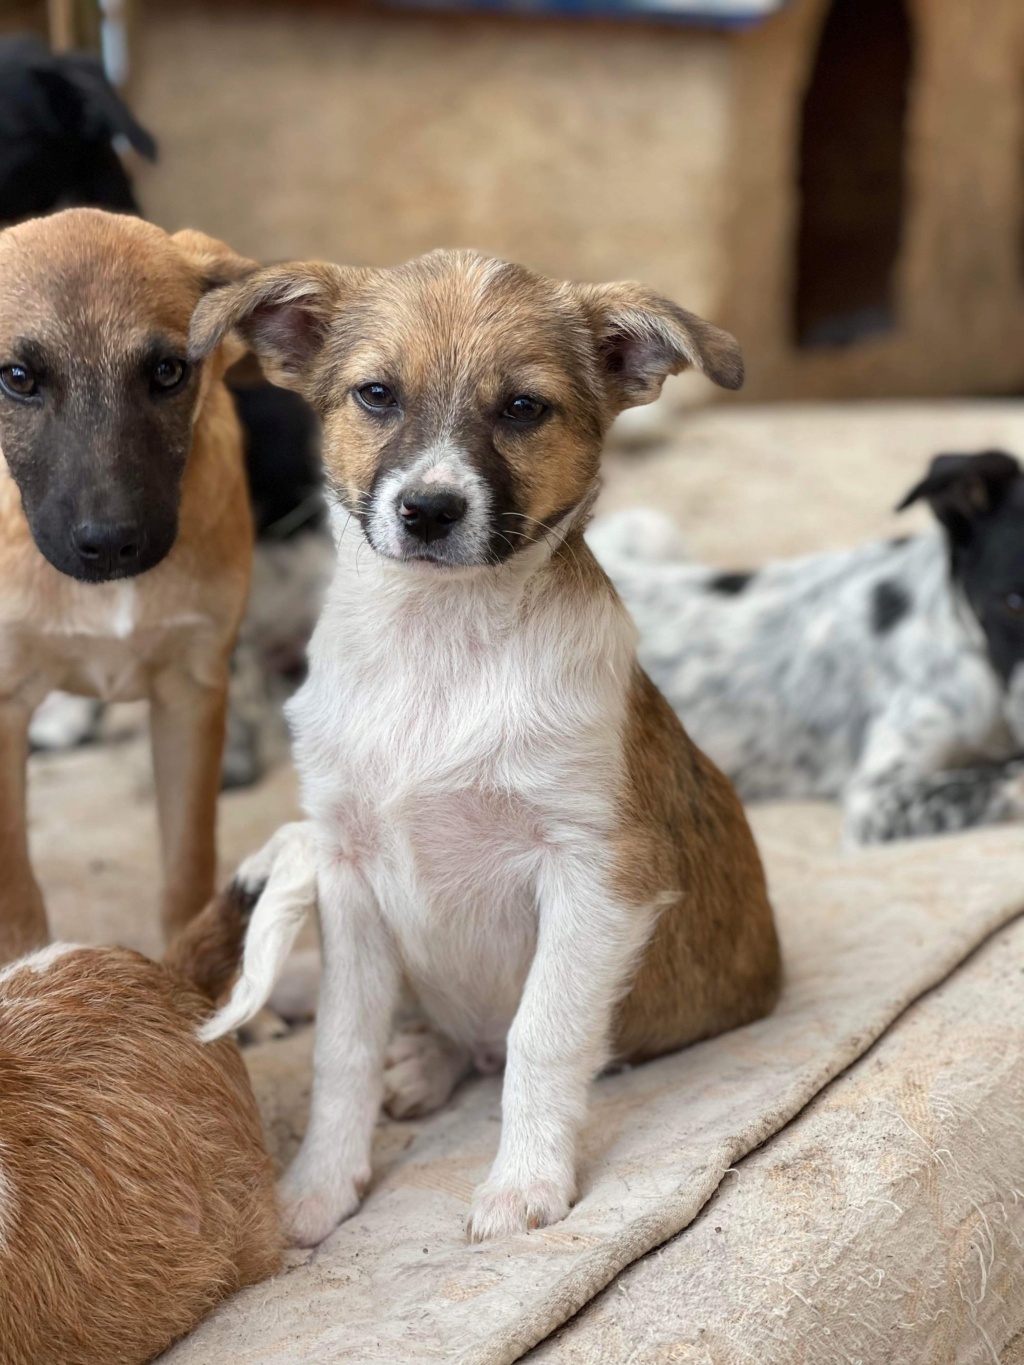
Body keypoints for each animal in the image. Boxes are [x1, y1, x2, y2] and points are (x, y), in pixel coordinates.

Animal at [0, 210, 255, 960]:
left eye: (168, 372)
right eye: (17, 377)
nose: (111, 542)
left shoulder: (191, 691)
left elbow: (187, 869)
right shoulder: (3, 702)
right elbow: (17, 897)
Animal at [192, 253, 780, 1250]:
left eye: (522, 408)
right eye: (377, 394)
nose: (429, 510)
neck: (440, 646)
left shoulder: (597, 872)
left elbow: (537, 1035)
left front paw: (524, 1184)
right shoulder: (350, 869)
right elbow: (341, 1048)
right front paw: (317, 1188)